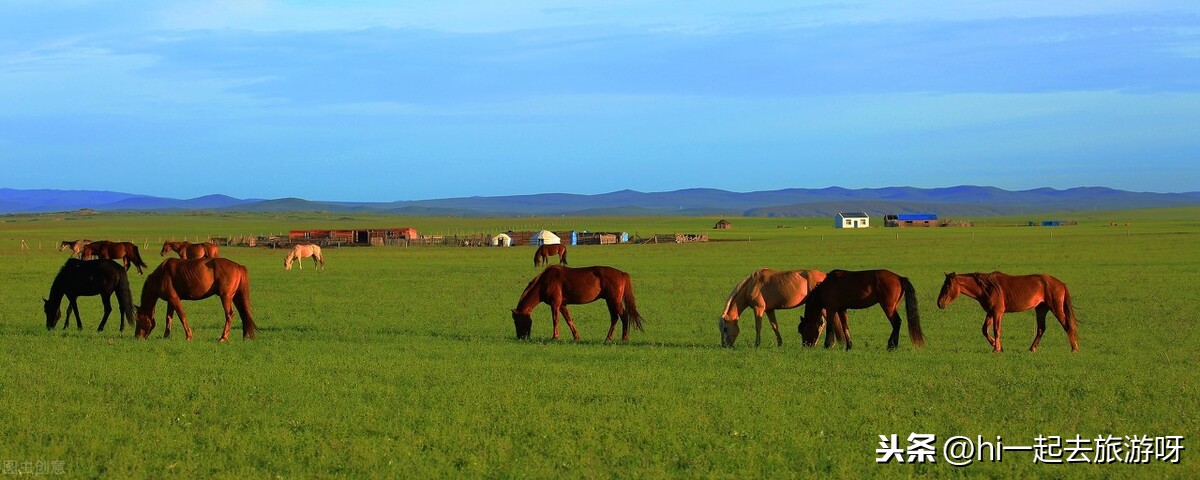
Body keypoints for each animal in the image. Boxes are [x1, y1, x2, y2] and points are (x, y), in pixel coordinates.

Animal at [508, 266, 643, 340]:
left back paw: (624, 338)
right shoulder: (562, 305)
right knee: (615, 318)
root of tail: (622, 274)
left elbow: (555, 320)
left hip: (614, 301)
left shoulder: (555, 304)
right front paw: (576, 337)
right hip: (610, 302)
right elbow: (569, 320)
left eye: (517, 321)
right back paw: (608, 338)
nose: (521, 337)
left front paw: (555, 337)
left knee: (623, 316)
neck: (545, 282)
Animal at [936, 270, 1080, 352]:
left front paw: (996, 349)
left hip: (1056, 308)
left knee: (1067, 326)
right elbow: (984, 330)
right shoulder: (990, 312)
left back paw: (1074, 348)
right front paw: (996, 345)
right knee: (1041, 329)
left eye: (947, 286)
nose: (939, 303)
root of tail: (1061, 284)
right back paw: (1032, 348)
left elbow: (997, 330)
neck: (987, 288)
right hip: (1041, 309)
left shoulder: (997, 313)